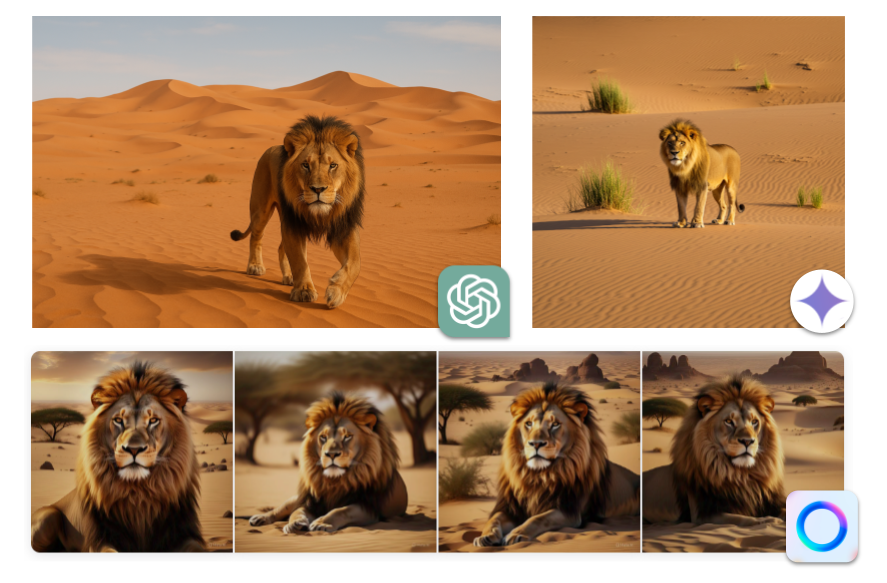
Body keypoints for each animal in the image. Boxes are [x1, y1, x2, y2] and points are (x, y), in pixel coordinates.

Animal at [31, 361, 204, 552]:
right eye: (118, 420)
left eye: (153, 420)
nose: (134, 450)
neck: (139, 495)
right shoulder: (99, 540)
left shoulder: (183, 533)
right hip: (49, 517)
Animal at [230, 114, 365, 309]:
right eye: (305, 165)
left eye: (333, 165)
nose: (318, 189)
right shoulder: (294, 224)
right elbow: (300, 261)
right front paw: (304, 291)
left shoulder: (343, 228)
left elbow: (355, 264)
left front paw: (336, 292)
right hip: (261, 210)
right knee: (256, 236)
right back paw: (255, 266)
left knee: (281, 247)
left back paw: (288, 276)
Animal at [249, 392, 407, 533]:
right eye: (323, 437)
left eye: (347, 436)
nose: (331, 454)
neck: (334, 481)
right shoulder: (311, 501)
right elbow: (296, 511)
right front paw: (295, 524)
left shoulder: (368, 507)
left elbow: (342, 510)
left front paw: (322, 523)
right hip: (297, 497)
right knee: (282, 508)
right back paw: (260, 518)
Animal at [474, 383, 639, 547]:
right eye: (528, 424)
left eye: (555, 424)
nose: (535, 444)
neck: (538, 476)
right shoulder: (509, 507)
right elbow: (493, 519)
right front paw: (486, 536)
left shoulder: (570, 511)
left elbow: (539, 518)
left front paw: (516, 534)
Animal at [642, 373, 786, 526]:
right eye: (728, 421)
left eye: (754, 422)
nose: (747, 441)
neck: (742, 476)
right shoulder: (703, 515)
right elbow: (742, 518)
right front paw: (770, 520)